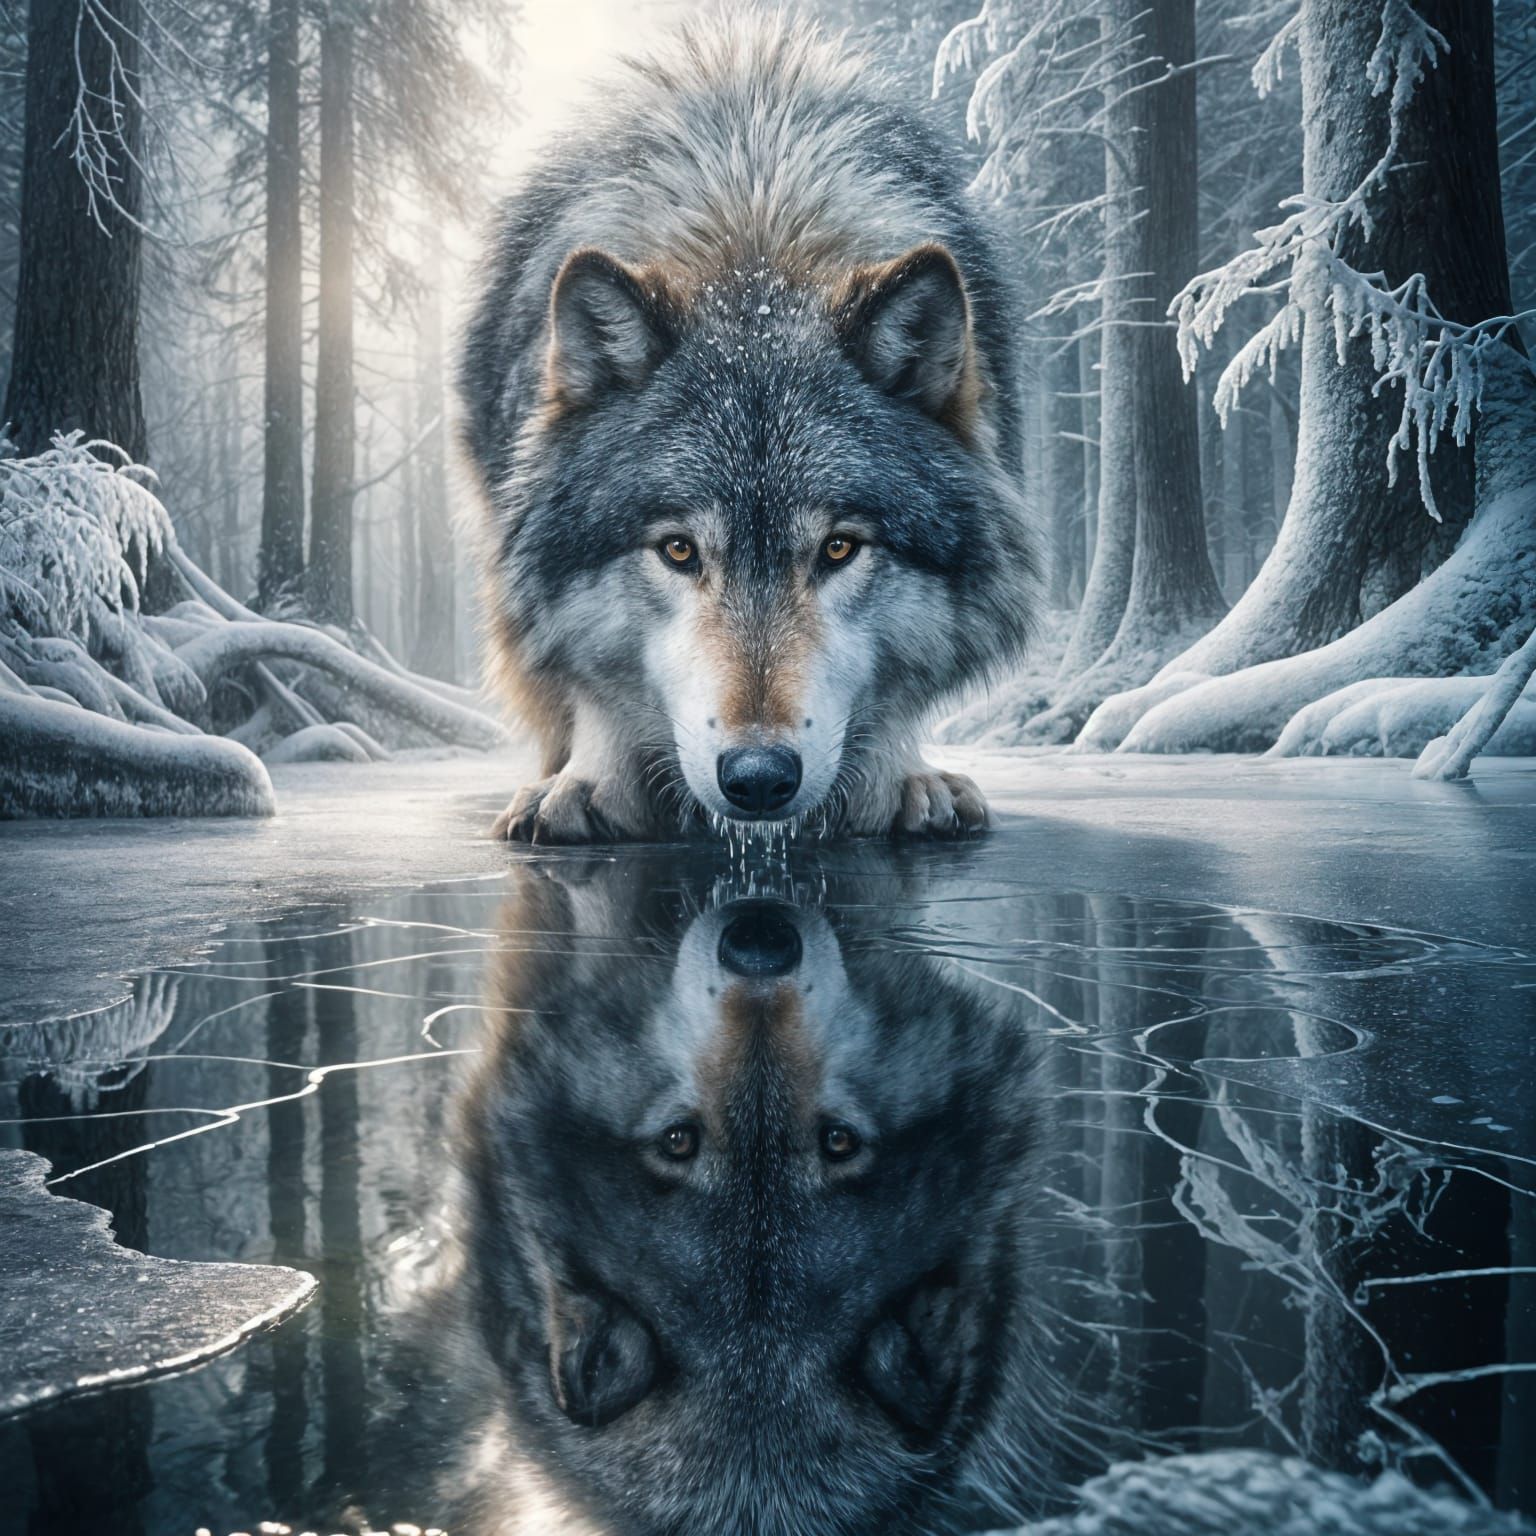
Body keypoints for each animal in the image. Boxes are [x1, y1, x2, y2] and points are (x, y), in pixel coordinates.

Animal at [457, 12, 1037, 843]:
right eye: (678, 550)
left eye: (838, 548)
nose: (759, 777)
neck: (754, 238)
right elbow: (590, 688)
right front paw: (589, 782)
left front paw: (900, 776)